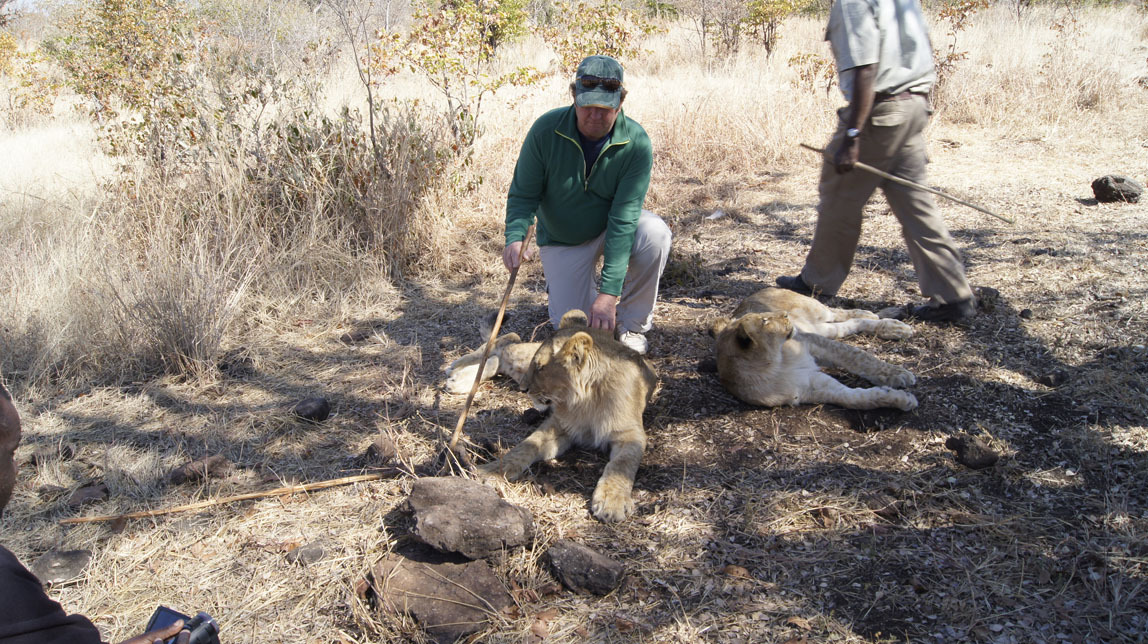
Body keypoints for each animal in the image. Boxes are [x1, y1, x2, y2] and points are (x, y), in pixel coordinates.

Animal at [475, 312, 656, 523]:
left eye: (540, 367)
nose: (523, 388)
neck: (585, 401)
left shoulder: (631, 434)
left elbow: (622, 464)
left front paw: (612, 501)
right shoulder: (560, 424)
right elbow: (525, 446)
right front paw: (492, 470)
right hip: (518, 356)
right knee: (502, 344)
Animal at [711, 286, 918, 408]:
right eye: (765, 320)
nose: (785, 315)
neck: (774, 365)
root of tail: (765, 287)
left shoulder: (811, 341)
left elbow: (858, 357)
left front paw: (897, 374)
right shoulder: (809, 386)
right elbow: (855, 398)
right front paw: (900, 399)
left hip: (815, 310)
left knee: (838, 312)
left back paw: (888, 322)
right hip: (821, 328)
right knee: (849, 324)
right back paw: (889, 326)